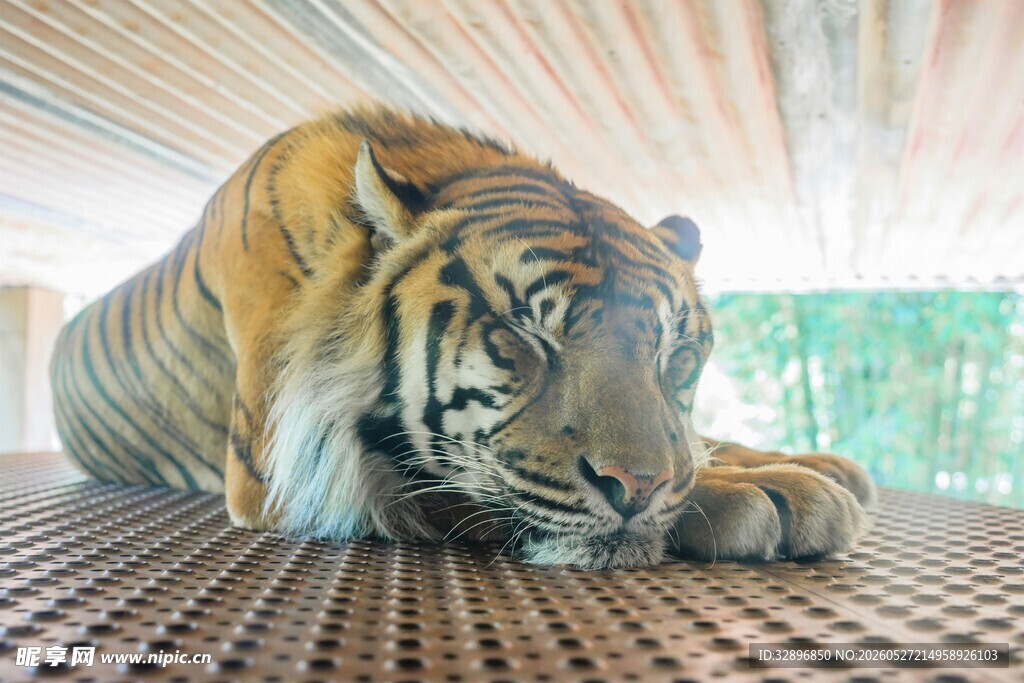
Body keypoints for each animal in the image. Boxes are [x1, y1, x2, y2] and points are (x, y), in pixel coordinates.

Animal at [50, 107, 874, 569]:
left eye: (679, 358)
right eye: (521, 336)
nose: (639, 487)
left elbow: (699, 443)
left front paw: (802, 462)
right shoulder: (284, 474)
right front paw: (766, 492)